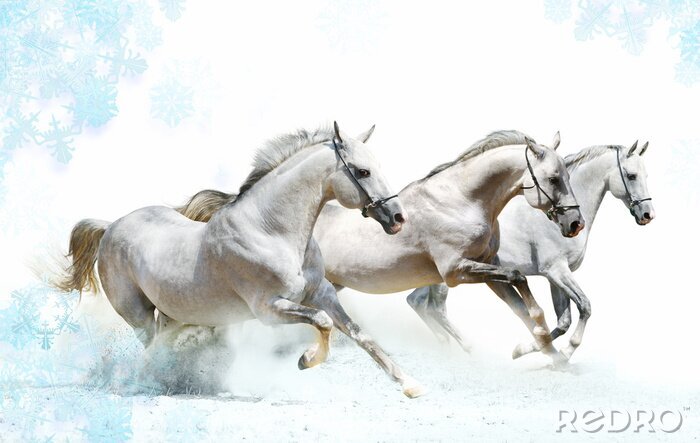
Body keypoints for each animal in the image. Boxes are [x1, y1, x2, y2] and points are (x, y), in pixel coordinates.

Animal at [57, 122, 427, 398]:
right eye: (363, 172)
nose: (398, 217)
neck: (271, 231)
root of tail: (110, 226)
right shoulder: (269, 309)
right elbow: (322, 323)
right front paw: (306, 360)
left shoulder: (322, 293)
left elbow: (360, 335)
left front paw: (411, 385)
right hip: (138, 315)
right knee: (152, 346)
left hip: (174, 312)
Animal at [177, 130, 584, 364]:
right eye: (553, 178)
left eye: (566, 175)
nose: (574, 223)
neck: (462, 200)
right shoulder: (456, 271)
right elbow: (519, 279)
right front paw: (544, 343)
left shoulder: (485, 269)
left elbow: (522, 302)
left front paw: (547, 352)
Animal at [405, 141, 654, 362]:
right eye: (631, 175)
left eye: (646, 175)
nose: (647, 215)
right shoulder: (557, 271)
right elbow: (584, 306)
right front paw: (562, 353)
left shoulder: (555, 277)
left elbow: (563, 321)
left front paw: (528, 350)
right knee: (435, 308)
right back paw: (467, 348)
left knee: (416, 301)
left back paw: (446, 346)